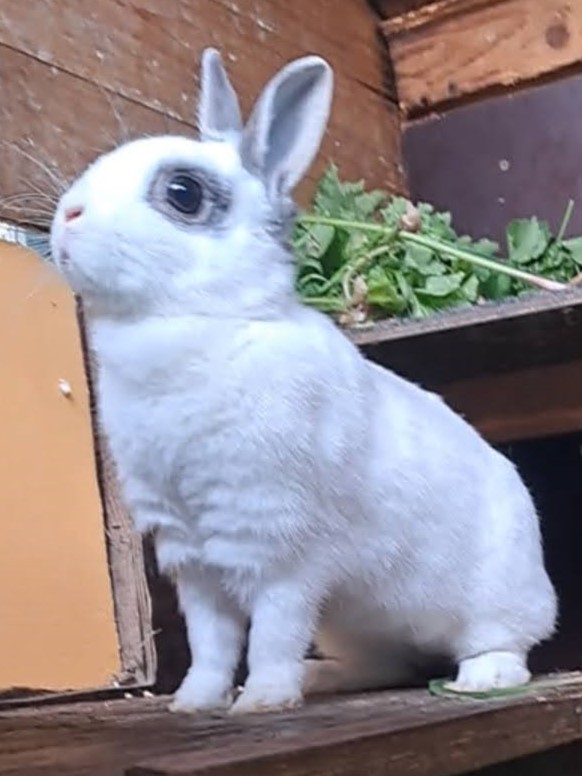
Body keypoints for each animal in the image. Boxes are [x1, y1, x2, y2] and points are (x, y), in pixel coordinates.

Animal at [50, 48, 557, 715]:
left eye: (183, 193)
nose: (66, 217)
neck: (205, 321)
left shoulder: (282, 553)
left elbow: (271, 633)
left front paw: (263, 700)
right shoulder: (194, 562)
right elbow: (212, 644)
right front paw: (196, 702)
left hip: (497, 597)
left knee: (506, 645)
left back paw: (480, 677)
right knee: (388, 662)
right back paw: (324, 679)